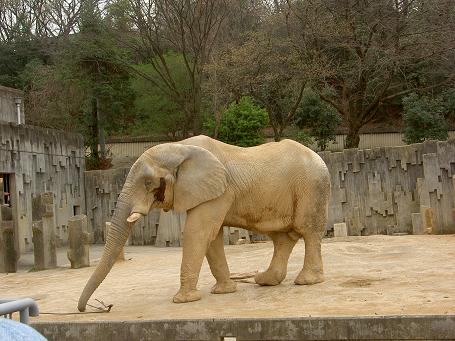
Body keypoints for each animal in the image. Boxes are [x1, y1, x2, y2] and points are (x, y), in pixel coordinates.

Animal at [76, 134, 330, 310]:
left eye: (148, 183)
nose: (84, 309)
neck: (180, 147)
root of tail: (320, 158)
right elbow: (212, 238)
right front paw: (224, 292)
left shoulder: (220, 192)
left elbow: (197, 233)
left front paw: (182, 301)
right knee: (282, 238)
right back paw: (266, 281)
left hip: (311, 188)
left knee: (307, 230)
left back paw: (307, 281)